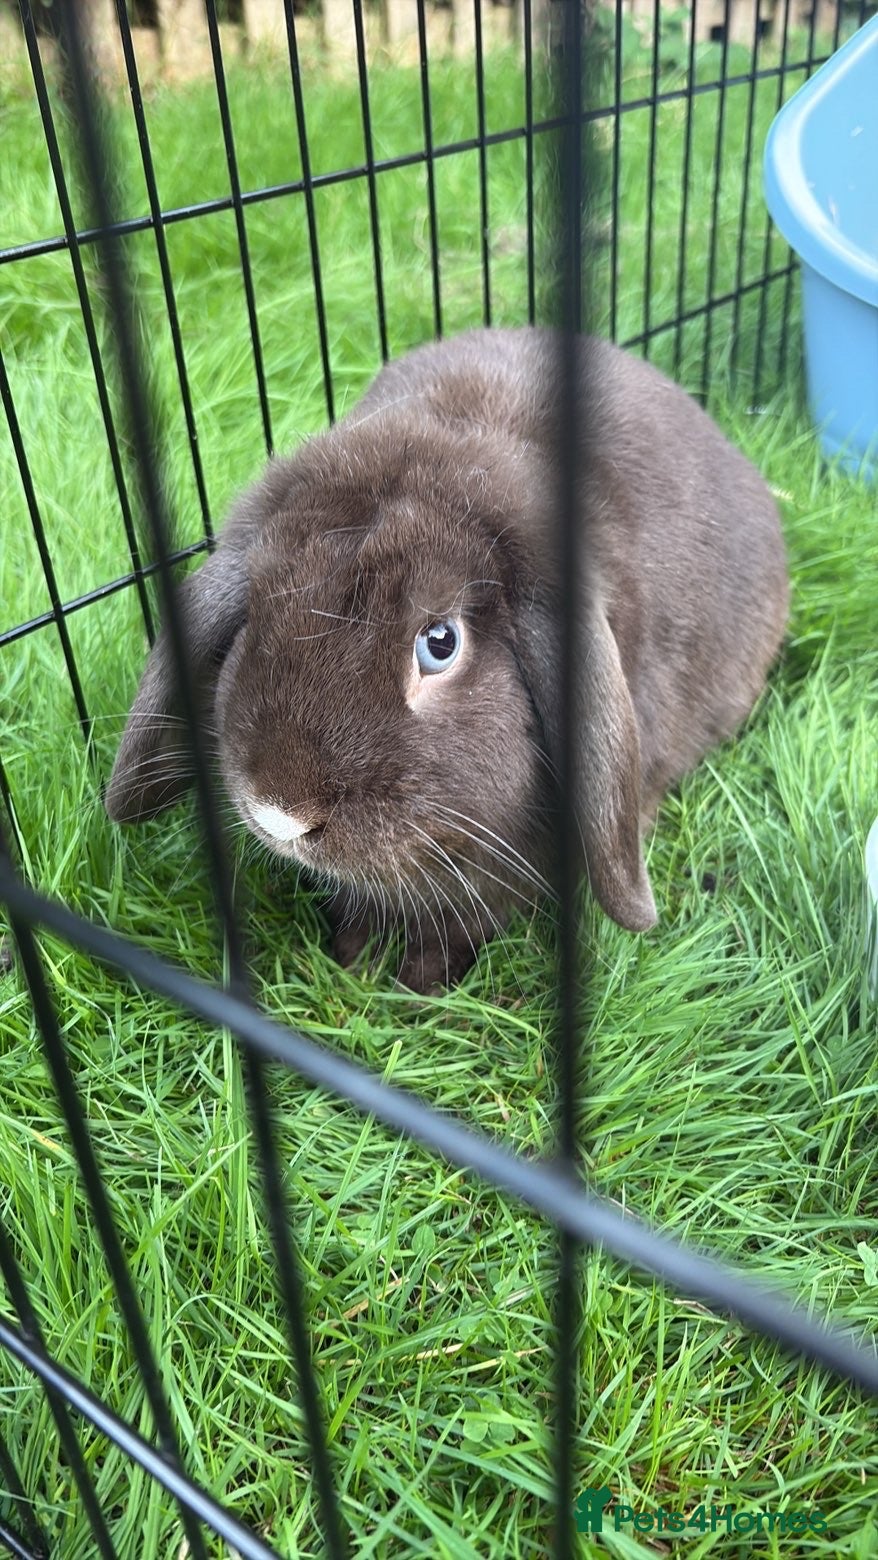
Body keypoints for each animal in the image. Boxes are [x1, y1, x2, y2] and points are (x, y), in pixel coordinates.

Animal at [105, 327, 788, 991]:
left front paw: (419, 983)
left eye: (441, 642)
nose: (280, 814)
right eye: (256, 604)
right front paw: (355, 955)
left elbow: (465, 919)